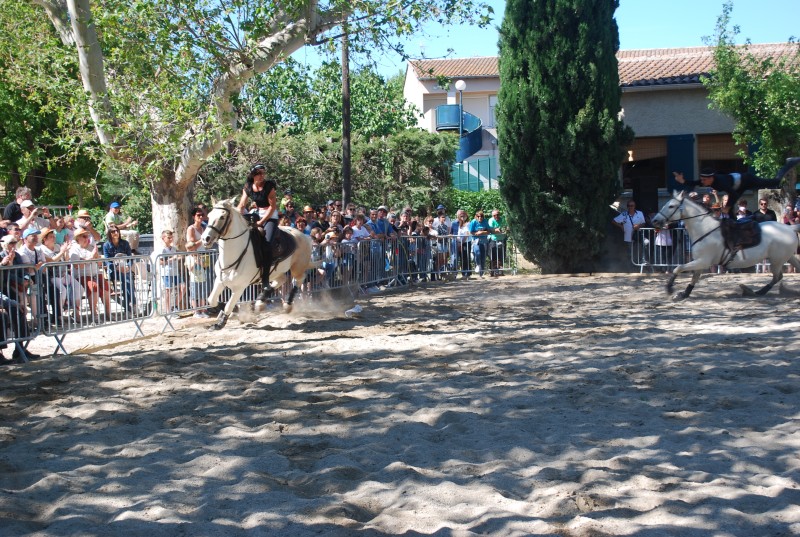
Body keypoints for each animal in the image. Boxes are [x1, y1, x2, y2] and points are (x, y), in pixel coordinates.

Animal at [200, 199, 316, 328]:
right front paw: (229, 312)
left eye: (222, 217)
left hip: (297, 267)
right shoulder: (220, 281)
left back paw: (287, 304)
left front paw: (221, 322)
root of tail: (304, 235)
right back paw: (261, 302)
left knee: (299, 280)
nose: (205, 238)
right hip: (276, 271)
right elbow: (211, 300)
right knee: (281, 280)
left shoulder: (239, 287)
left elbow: (228, 305)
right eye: (209, 215)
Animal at [648, 191, 800, 300]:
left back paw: (757, 292)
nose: (654, 221)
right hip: (785, 257)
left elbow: (678, 268)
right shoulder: (700, 262)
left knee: (777, 277)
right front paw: (684, 294)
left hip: (777, 260)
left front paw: (669, 288)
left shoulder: (703, 261)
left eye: (671, 206)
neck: (704, 229)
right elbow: (693, 278)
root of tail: (790, 228)